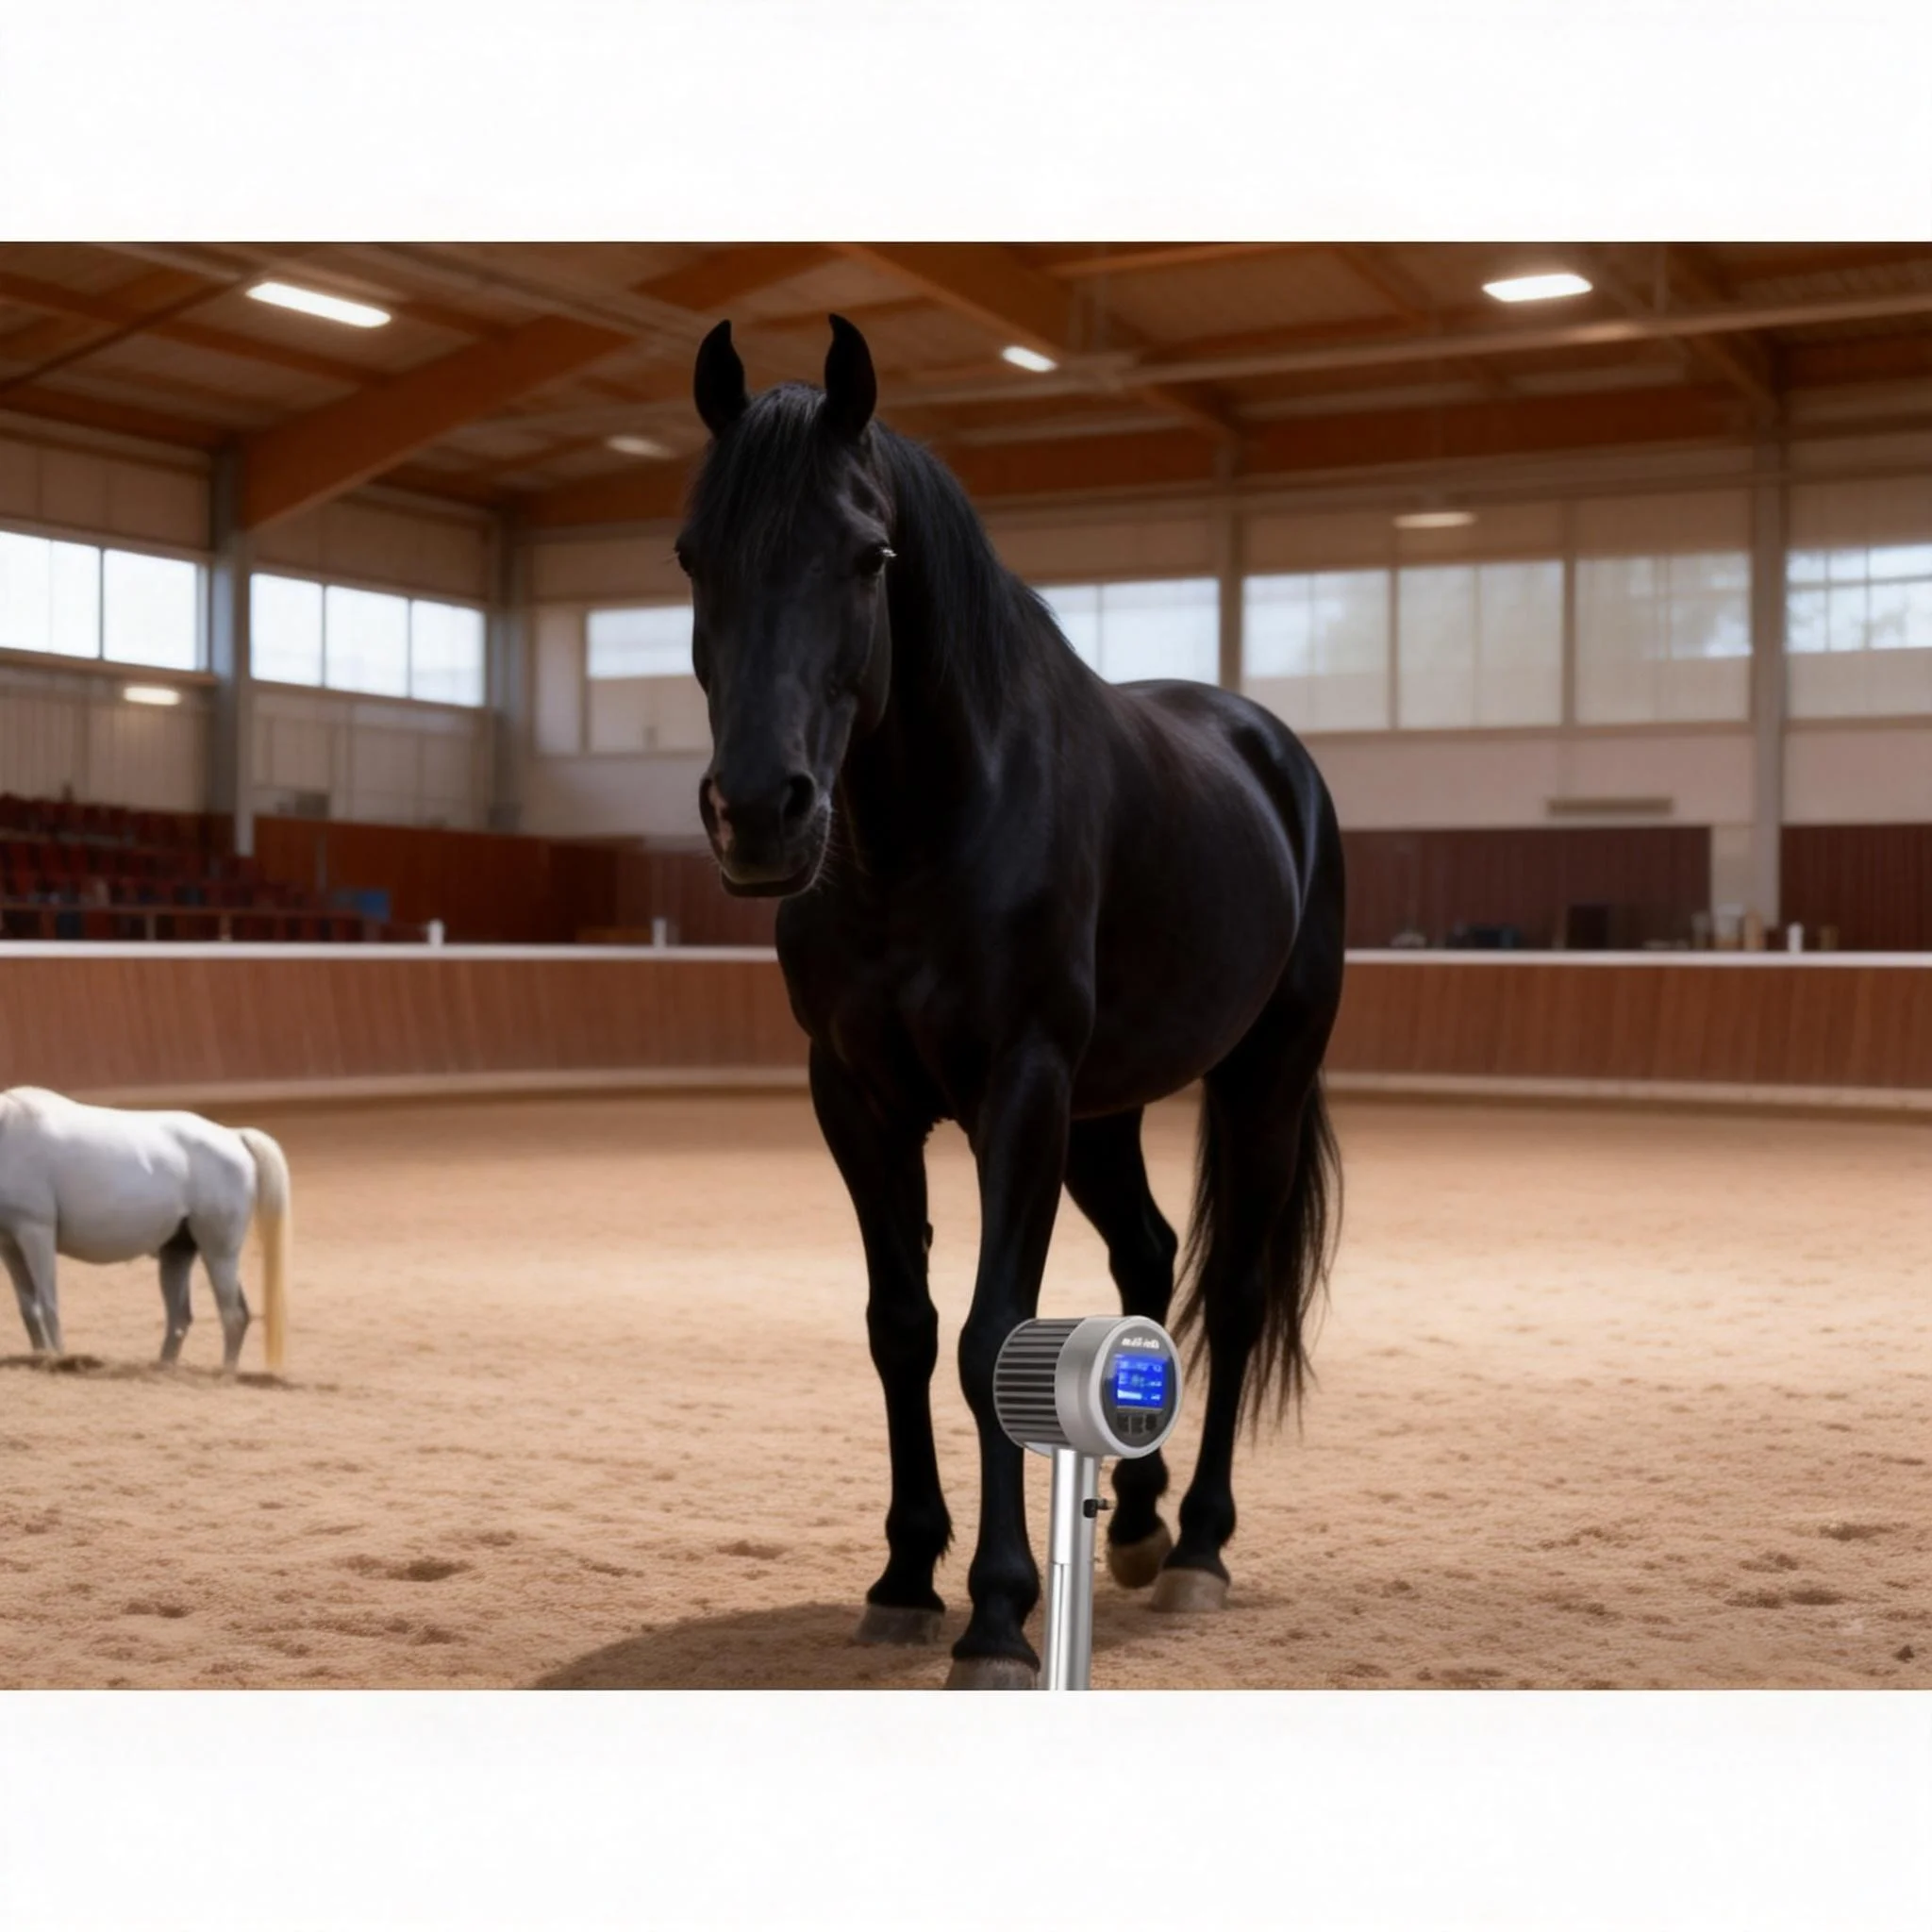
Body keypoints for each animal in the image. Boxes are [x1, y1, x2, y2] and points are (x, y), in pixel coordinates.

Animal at [0, 1087, 292, 1372]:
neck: (8, 1128)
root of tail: (233, 1136)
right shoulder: (10, 1244)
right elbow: (29, 1307)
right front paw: (40, 1357)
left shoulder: (36, 1232)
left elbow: (48, 1303)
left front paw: (58, 1360)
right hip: (178, 1251)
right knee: (181, 1316)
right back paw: (163, 1368)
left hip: (219, 1253)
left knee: (234, 1314)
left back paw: (226, 1373)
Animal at [679, 315, 1346, 1688]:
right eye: (690, 554)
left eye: (869, 554)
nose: (760, 813)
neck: (923, 831)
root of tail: (1272, 754)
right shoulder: (858, 1101)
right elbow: (901, 1323)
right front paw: (901, 1576)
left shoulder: (1018, 1090)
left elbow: (995, 1335)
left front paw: (996, 1612)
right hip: (1103, 1113)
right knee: (1147, 1252)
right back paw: (1136, 1526)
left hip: (1259, 1076)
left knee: (1232, 1289)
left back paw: (1200, 1547)